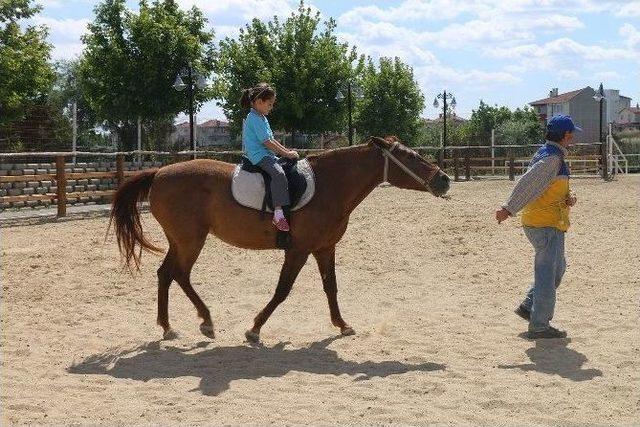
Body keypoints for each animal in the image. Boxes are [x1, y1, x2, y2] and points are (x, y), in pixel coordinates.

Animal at [109, 135, 450, 342]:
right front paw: (254, 328)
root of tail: (159, 174)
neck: (329, 186)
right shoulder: (297, 251)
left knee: (166, 274)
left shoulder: (324, 248)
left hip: (180, 241)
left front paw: (342, 325)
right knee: (179, 274)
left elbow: (331, 288)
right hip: (191, 241)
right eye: (411, 157)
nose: (444, 180)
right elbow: (282, 290)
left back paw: (169, 327)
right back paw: (204, 321)